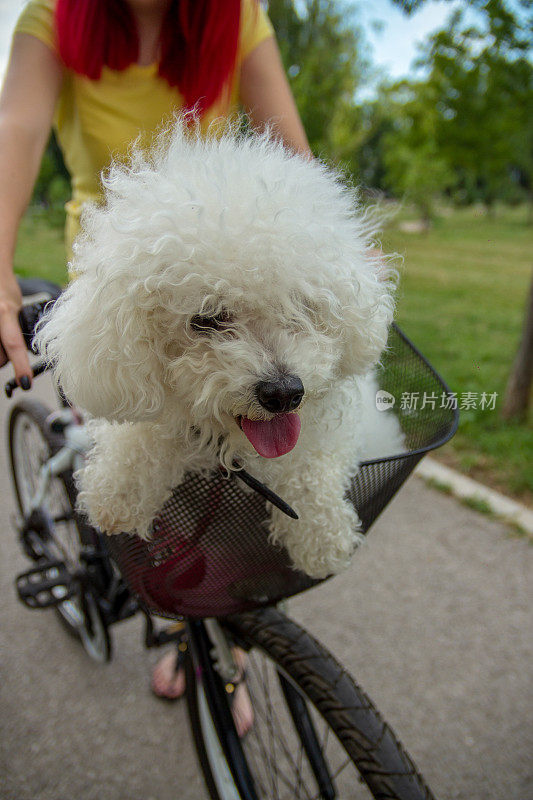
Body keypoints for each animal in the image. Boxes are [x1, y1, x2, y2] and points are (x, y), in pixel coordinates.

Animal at [38, 119, 404, 580]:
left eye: (301, 306)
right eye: (207, 319)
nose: (283, 393)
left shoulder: (332, 429)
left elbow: (309, 469)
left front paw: (322, 538)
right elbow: (146, 433)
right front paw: (118, 491)